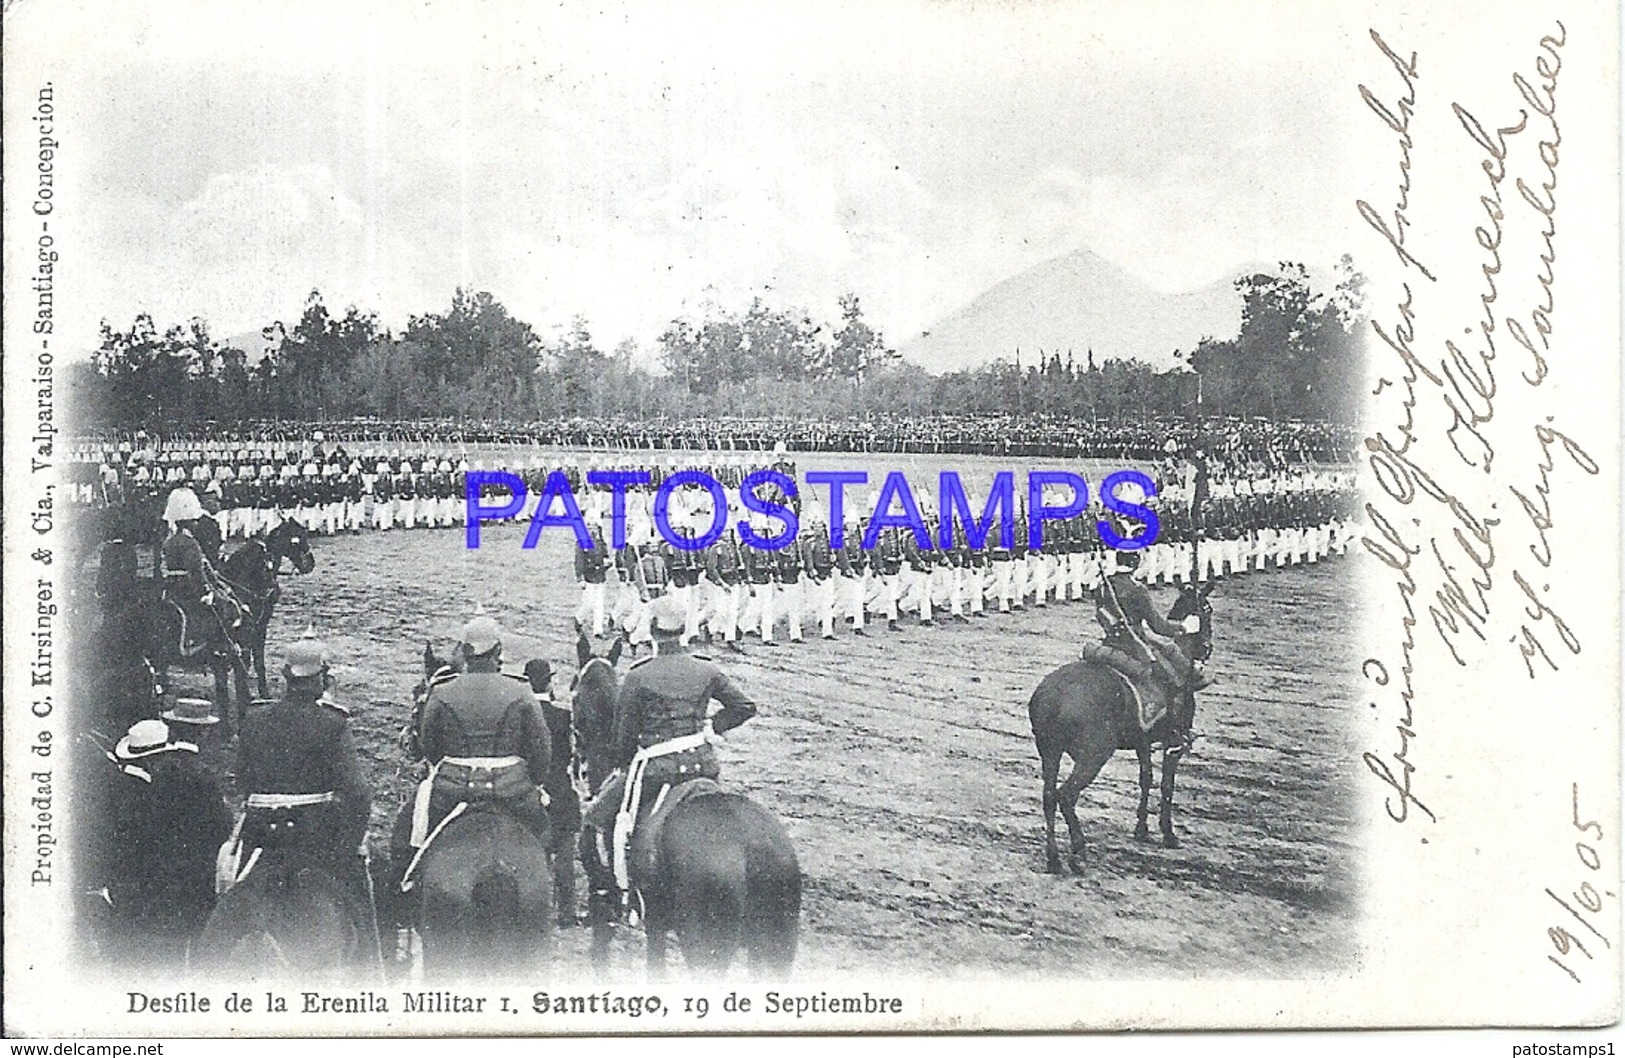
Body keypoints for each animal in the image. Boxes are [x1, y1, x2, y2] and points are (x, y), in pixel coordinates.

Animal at [217, 520, 315, 702]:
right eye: (296, 541)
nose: (310, 564)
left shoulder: (261, 625)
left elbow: (258, 660)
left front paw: (263, 692)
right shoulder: (246, 629)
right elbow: (246, 660)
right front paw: (247, 694)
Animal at [572, 633, 799, 981]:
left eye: (574, 692)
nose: (579, 763)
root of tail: (755, 848)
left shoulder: (607, 899)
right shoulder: (655, 919)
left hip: (705, 947)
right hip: (776, 948)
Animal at [1027, 585, 1209, 871]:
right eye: (1208, 611)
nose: (1206, 648)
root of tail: (1053, 695)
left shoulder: (1143, 742)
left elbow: (1146, 779)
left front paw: (1142, 829)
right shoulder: (1173, 744)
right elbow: (1166, 786)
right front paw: (1168, 834)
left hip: (1050, 752)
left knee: (1048, 797)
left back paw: (1054, 858)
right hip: (1094, 755)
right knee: (1066, 796)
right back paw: (1079, 850)